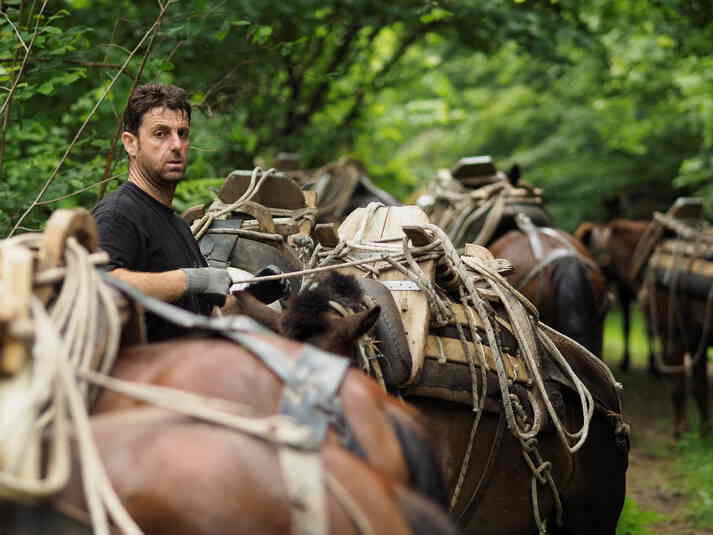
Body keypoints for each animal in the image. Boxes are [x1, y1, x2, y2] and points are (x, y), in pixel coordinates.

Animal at [572, 220, 656, 374]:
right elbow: (626, 327)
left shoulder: (647, 299)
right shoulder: (624, 294)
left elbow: (649, 330)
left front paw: (653, 366)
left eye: (586, 249)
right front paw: (625, 361)